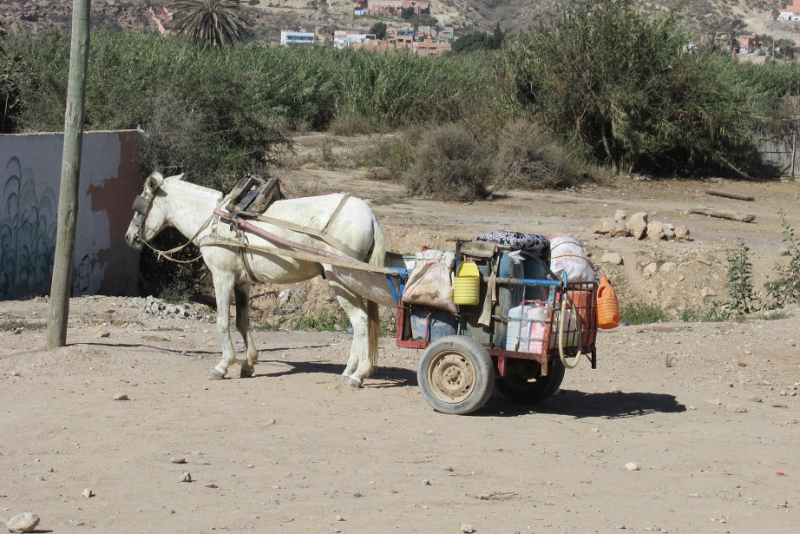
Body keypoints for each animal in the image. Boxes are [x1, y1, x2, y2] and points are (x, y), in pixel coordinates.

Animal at [125, 174, 388, 388]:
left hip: (340, 277)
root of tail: (369, 214)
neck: (214, 220)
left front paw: (223, 365)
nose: (128, 238)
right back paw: (349, 371)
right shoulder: (242, 282)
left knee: (360, 321)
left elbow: (222, 321)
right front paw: (248, 363)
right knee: (361, 321)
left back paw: (358, 375)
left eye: (140, 205)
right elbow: (242, 321)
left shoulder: (222, 276)